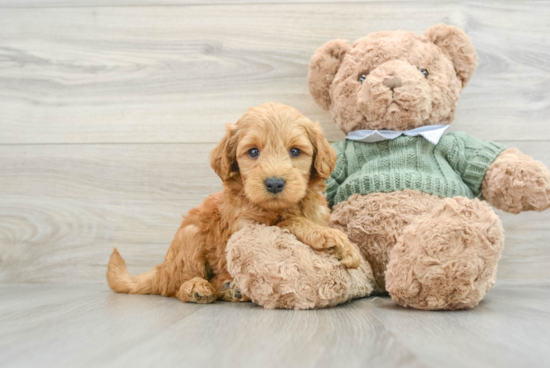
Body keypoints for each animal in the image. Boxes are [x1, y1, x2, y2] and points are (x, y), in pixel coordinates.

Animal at [106, 102, 362, 304]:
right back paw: (197, 288)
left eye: (296, 151)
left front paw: (343, 245)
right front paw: (334, 240)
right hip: (190, 237)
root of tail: (162, 269)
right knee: (176, 287)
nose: (274, 183)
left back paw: (230, 288)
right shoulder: (247, 227)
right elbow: (288, 222)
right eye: (253, 152)